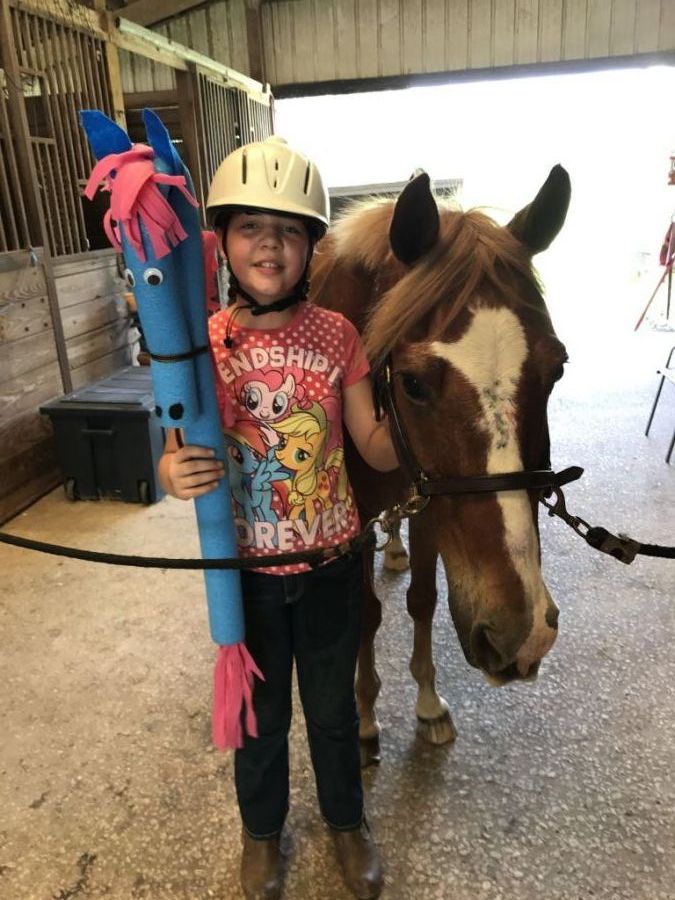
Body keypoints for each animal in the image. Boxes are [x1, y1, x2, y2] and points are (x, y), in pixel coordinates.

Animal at [310, 167, 572, 764]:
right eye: (412, 382)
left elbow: (423, 601)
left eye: (557, 370)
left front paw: (428, 704)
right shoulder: (358, 517)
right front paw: (364, 717)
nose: (521, 634)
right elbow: (366, 613)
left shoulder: (428, 501)